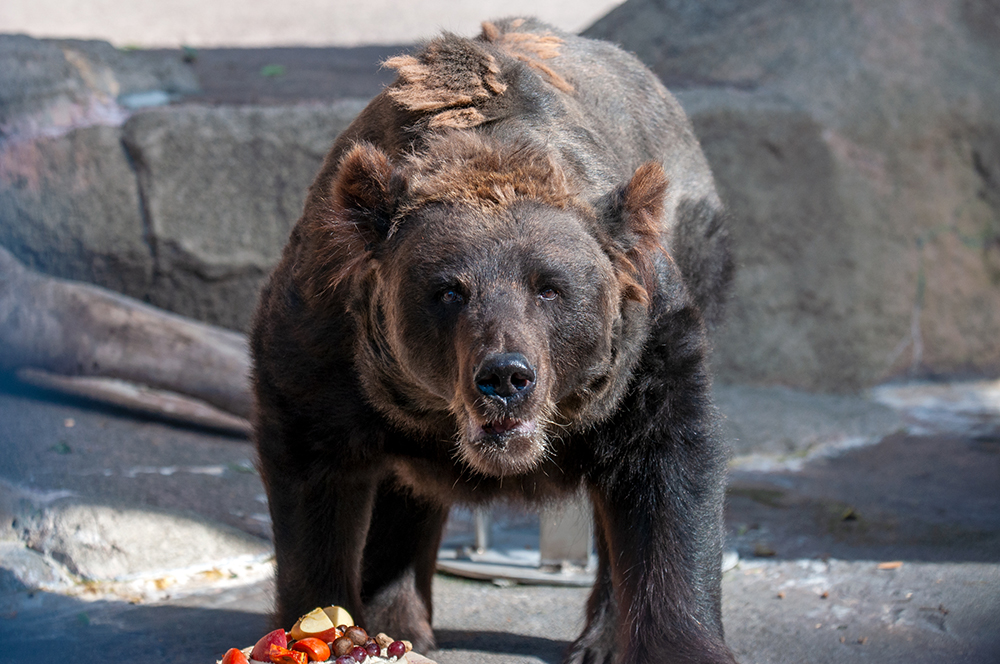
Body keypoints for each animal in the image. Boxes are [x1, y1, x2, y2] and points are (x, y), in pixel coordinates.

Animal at [250, 15, 736, 664]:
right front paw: (323, 625)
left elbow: (669, 480)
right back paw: (401, 621)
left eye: (550, 287)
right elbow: (313, 482)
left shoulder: (647, 353)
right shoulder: (324, 349)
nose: (505, 376)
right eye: (448, 290)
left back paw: (600, 637)